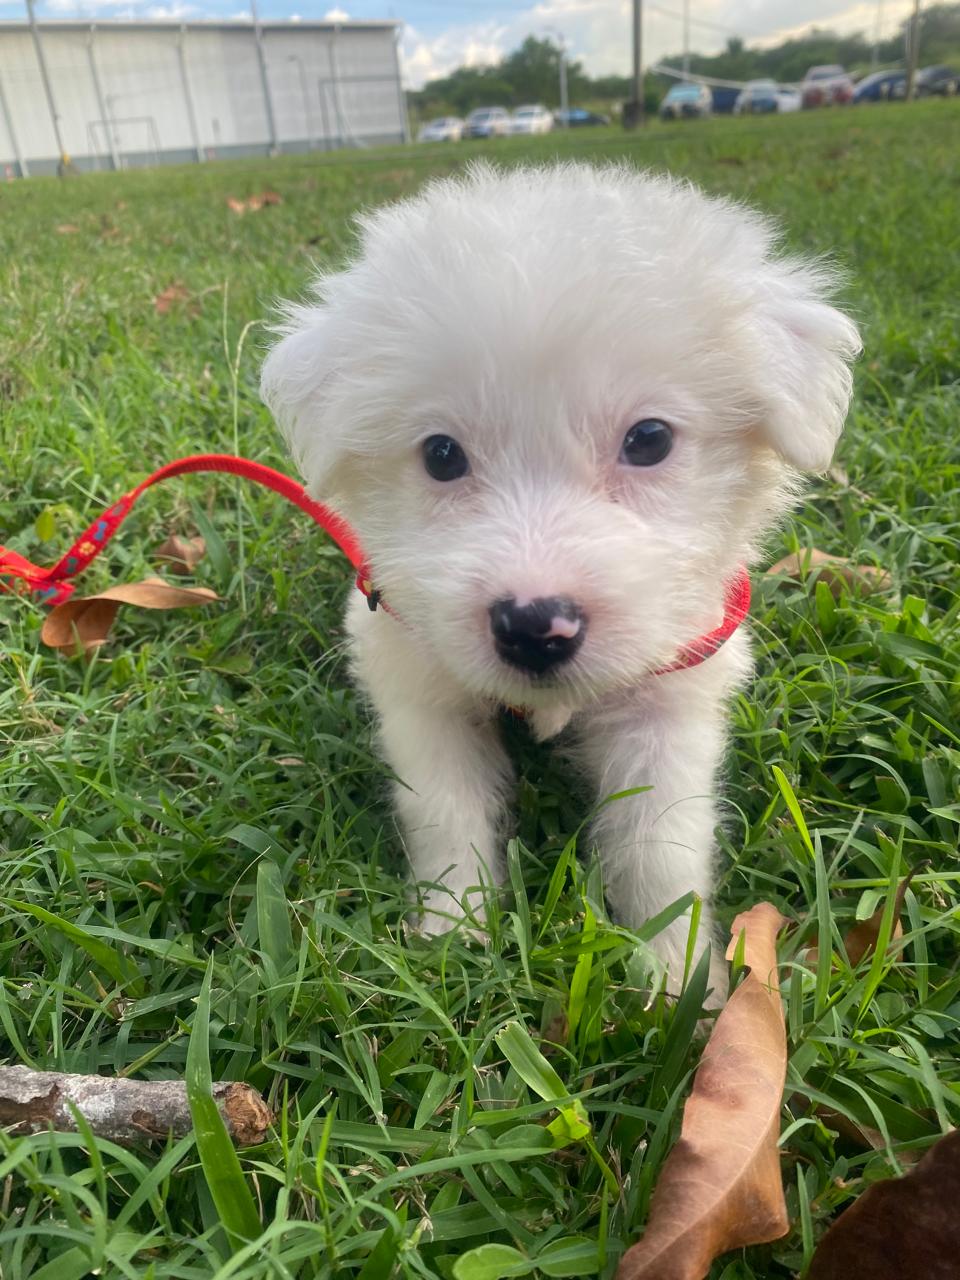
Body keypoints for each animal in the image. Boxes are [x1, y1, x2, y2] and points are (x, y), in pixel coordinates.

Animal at [261, 162, 860, 1000]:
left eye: (649, 439)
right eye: (440, 454)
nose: (534, 628)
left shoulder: (671, 700)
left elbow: (659, 845)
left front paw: (679, 980)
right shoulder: (419, 684)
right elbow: (447, 812)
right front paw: (453, 934)